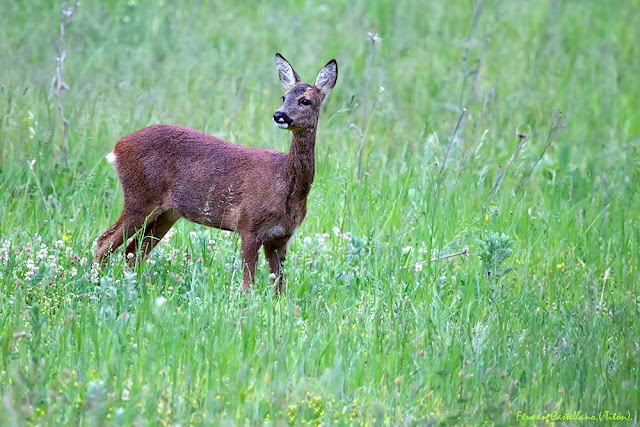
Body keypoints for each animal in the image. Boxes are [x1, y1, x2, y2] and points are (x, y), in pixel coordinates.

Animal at [94, 53, 340, 294]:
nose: (279, 115)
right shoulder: (248, 225)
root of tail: (117, 147)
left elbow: (280, 289)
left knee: (132, 252)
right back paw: (95, 282)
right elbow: (247, 286)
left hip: (167, 213)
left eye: (305, 100)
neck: (284, 185)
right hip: (140, 198)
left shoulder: (281, 238)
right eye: (283, 96)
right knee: (103, 242)